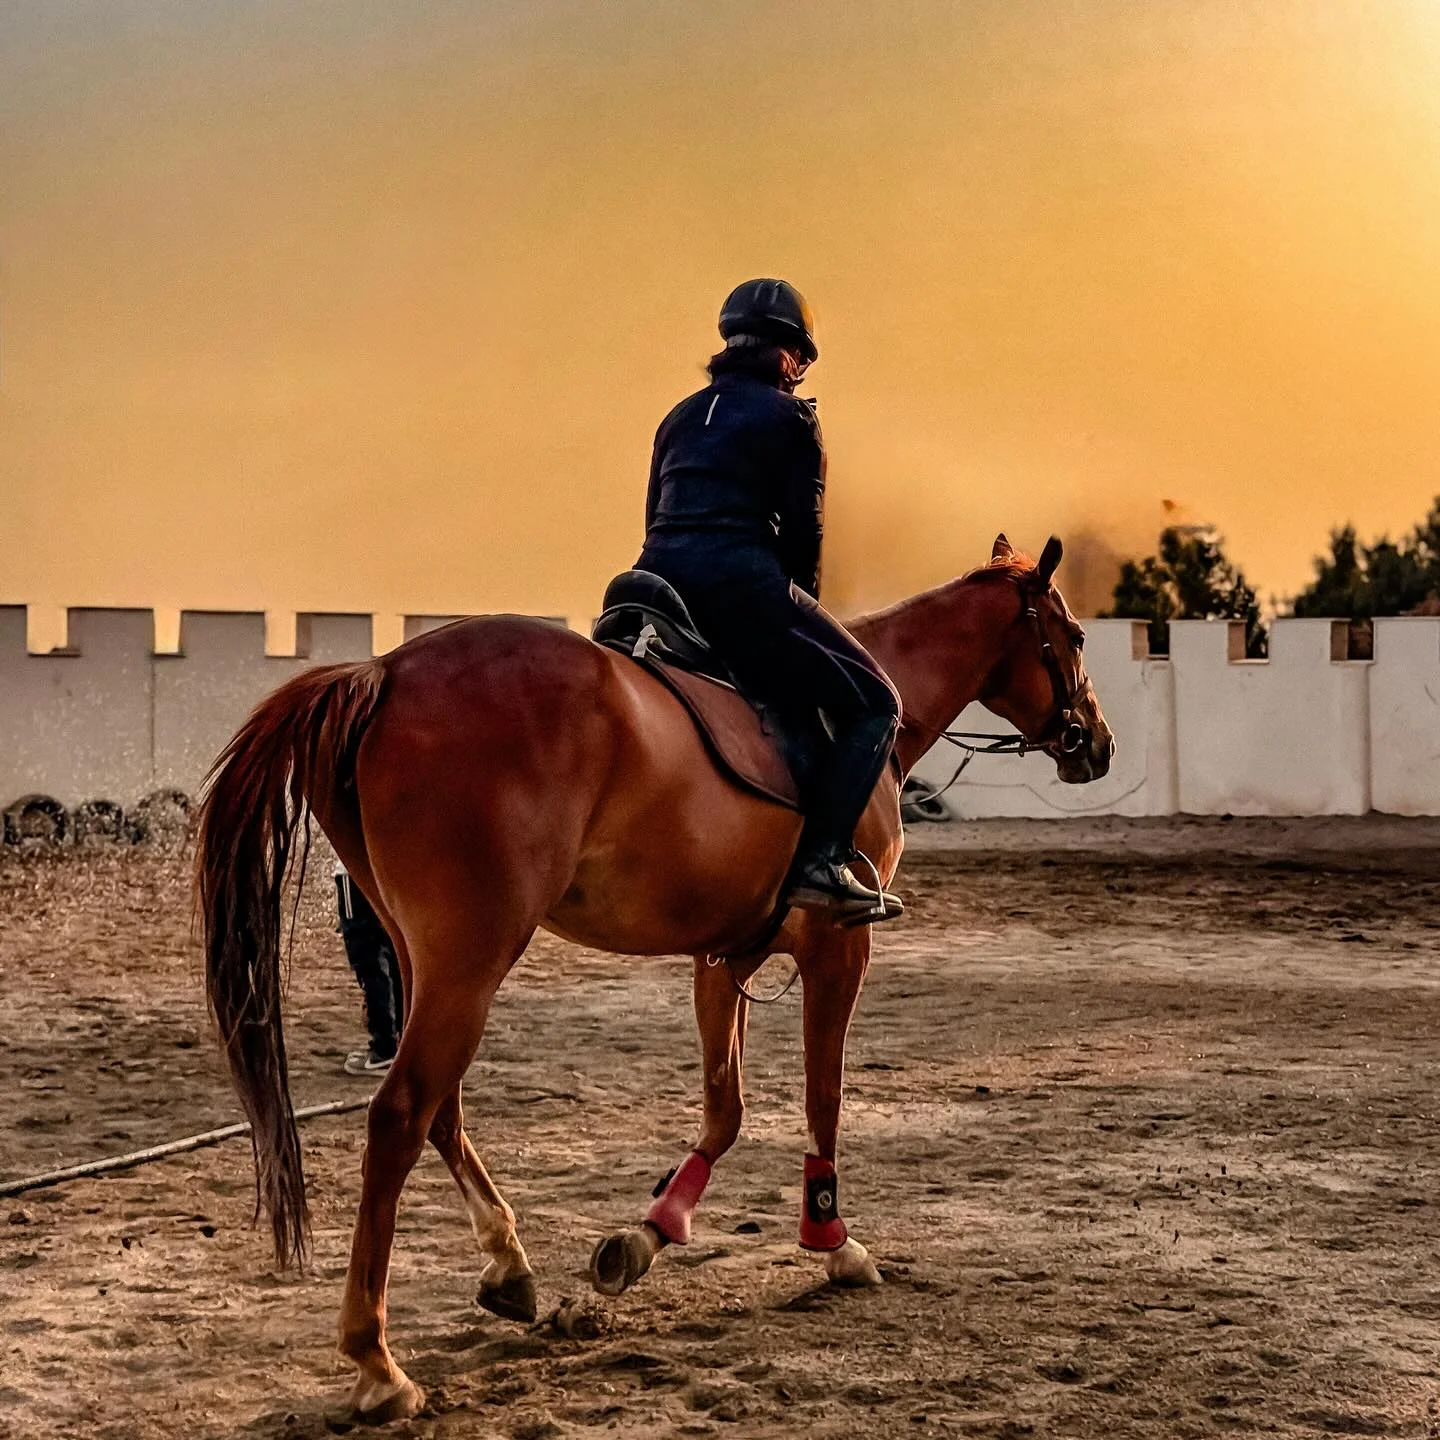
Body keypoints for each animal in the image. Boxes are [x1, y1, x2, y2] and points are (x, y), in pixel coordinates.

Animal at [196, 532, 1112, 1423]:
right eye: (1071, 636)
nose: (1095, 745)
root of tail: (384, 671)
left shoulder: (724, 956)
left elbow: (725, 1110)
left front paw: (649, 1233)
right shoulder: (839, 948)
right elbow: (823, 1098)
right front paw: (831, 1240)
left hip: (433, 960)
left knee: (438, 1109)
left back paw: (508, 1266)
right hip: (472, 956)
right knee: (400, 1115)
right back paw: (378, 1365)